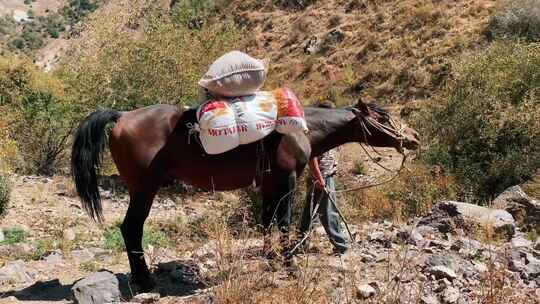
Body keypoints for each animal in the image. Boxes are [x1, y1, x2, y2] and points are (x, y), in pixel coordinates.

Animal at [69, 99, 420, 290]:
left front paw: (271, 259)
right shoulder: (287, 180)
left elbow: (267, 220)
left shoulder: (269, 183)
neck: (300, 127)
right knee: (132, 228)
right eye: (383, 117)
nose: (414, 137)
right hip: (144, 189)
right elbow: (283, 221)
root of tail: (122, 116)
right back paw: (144, 280)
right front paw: (289, 263)